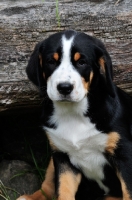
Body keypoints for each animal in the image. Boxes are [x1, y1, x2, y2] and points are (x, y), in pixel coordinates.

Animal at [17, 29, 132, 200]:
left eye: (82, 62)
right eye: (51, 61)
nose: (64, 87)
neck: (73, 113)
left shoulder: (124, 154)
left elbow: (128, 192)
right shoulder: (63, 158)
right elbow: (63, 191)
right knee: (47, 187)